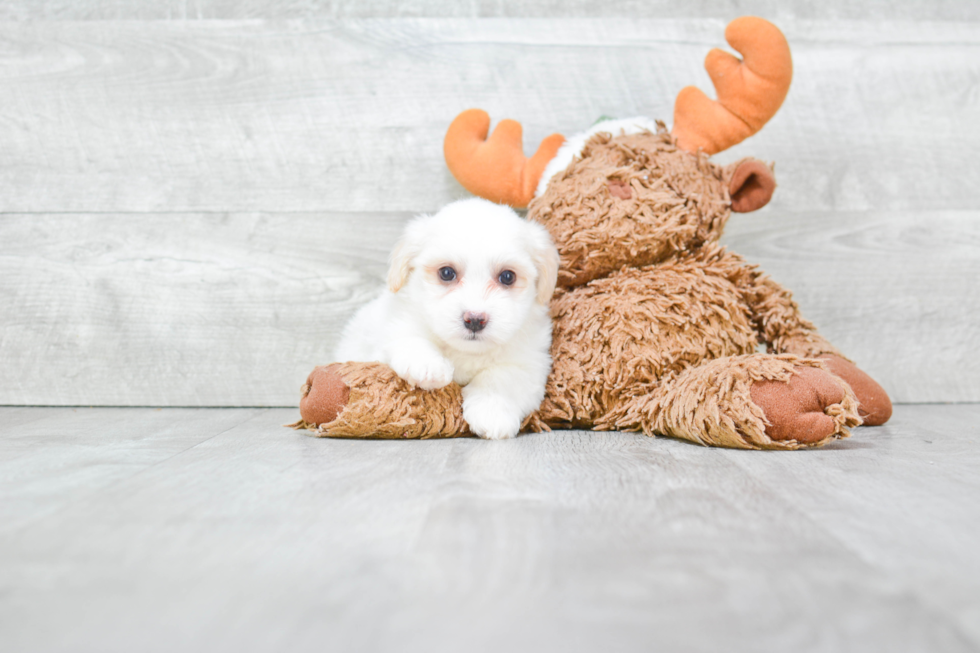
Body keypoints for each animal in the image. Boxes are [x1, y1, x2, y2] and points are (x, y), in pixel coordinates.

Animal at [334, 197, 560, 438]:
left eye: (508, 277)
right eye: (446, 273)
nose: (475, 319)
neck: (465, 351)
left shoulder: (530, 362)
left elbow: (501, 378)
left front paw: (491, 412)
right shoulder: (388, 333)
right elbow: (408, 338)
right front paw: (428, 366)